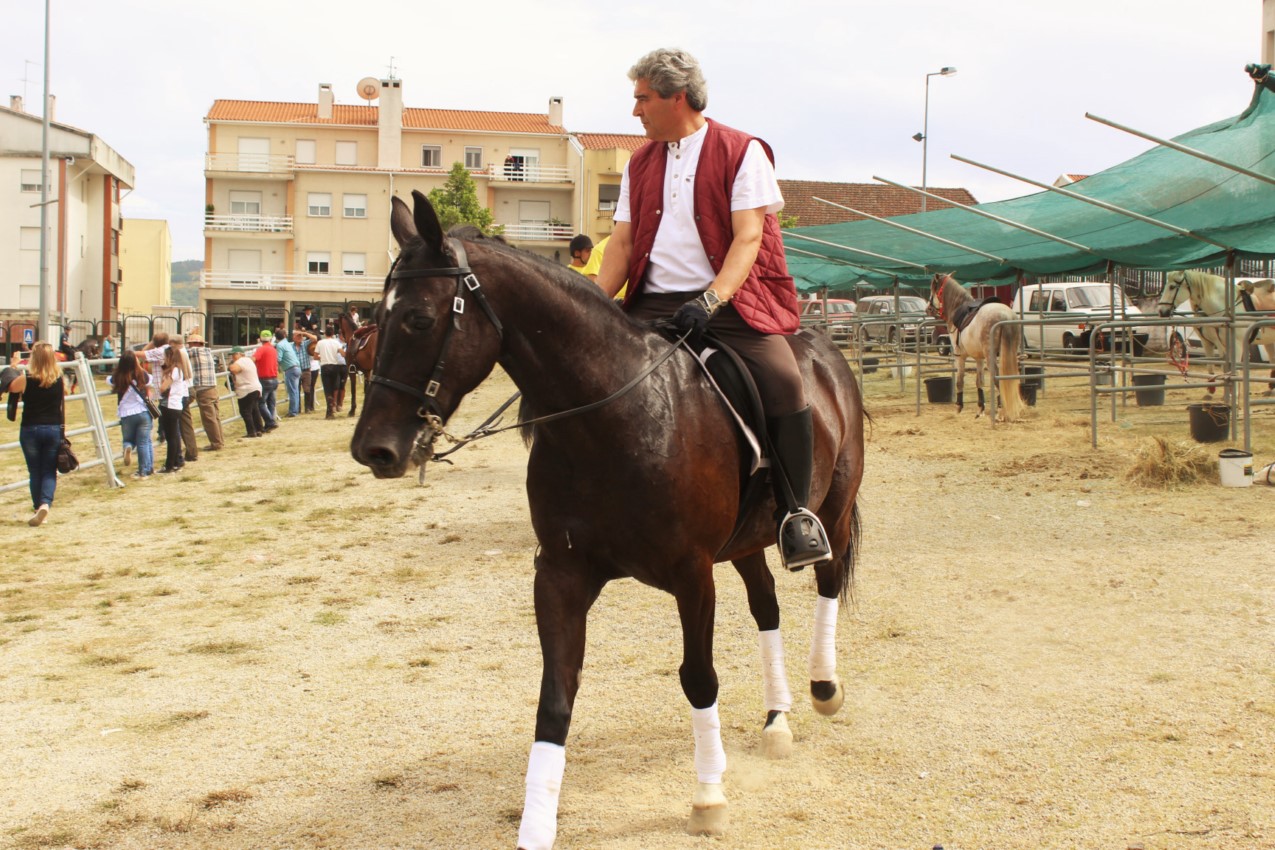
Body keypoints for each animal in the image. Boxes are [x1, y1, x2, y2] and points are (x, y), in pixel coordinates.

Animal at [354, 192, 861, 850]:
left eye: (417, 319)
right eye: (375, 319)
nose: (373, 449)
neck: (614, 415)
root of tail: (825, 348)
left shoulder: (692, 575)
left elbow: (699, 678)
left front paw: (709, 795)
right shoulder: (562, 574)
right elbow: (554, 699)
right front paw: (535, 827)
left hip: (833, 510)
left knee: (826, 580)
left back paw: (823, 688)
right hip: (747, 542)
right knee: (766, 606)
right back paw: (777, 719)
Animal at [928, 272, 1025, 423]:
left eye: (933, 289)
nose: (928, 308)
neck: (957, 309)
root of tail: (1005, 315)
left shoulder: (960, 356)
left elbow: (960, 381)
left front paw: (959, 407)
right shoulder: (979, 358)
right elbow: (979, 382)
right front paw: (980, 409)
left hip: (991, 356)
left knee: (997, 379)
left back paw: (1000, 412)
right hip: (1010, 354)